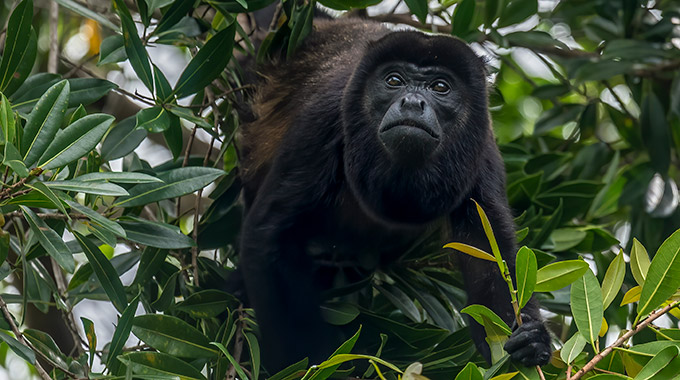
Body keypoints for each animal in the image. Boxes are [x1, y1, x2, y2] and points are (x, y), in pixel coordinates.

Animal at [239, 17, 552, 372]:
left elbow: (488, 261)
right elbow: (269, 237)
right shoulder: (322, 120)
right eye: (393, 80)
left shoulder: (482, 151)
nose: (412, 103)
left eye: (440, 87)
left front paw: (532, 343)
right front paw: (310, 363)